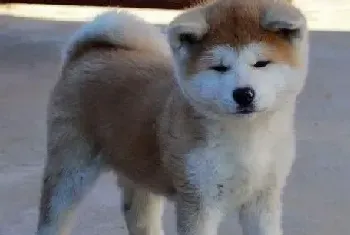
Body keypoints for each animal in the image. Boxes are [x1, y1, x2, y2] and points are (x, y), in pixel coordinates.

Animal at [35, 0, 308, 235]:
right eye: (219, 67)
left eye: (261, 63)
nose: (243, 94)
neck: (246, 138)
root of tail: (85, 54)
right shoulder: (198, 202)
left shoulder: (262, 199)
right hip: (72, 170)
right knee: (53, 217)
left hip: (138, 172)